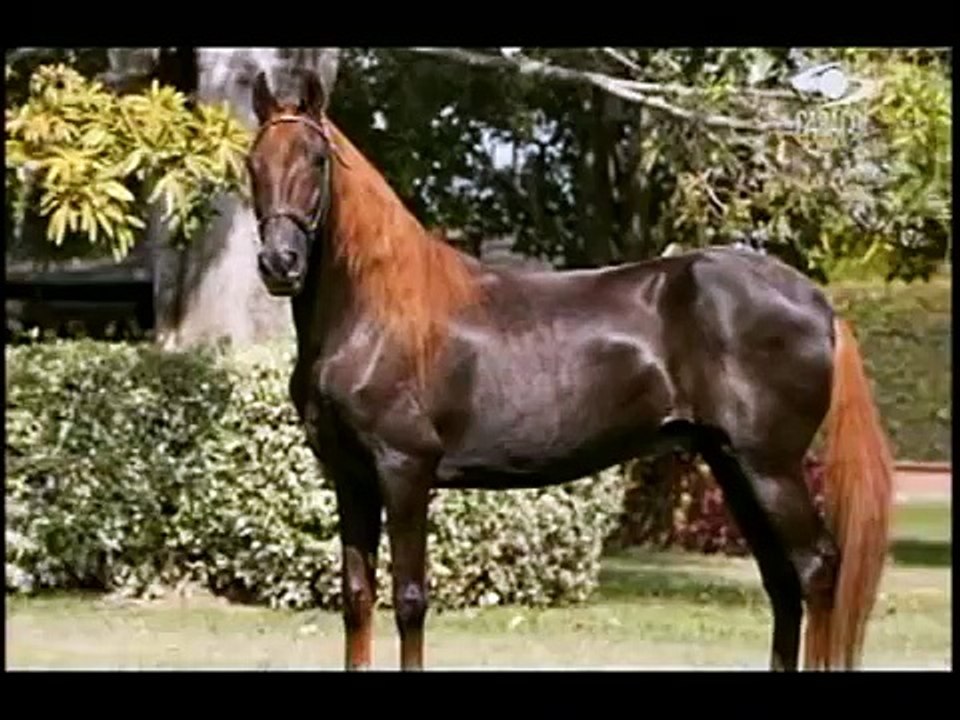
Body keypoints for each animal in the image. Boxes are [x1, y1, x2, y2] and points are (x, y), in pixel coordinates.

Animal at [243, 69, 894, 672]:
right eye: (254, 163)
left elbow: (408, 600)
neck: (375, 313)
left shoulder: (404, 471)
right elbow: (357, 597)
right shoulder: (350, 477)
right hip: (734, 466)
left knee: (815, 569)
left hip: (771, 468)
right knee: (781, 581)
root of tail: (819, 304)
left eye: (317, 159)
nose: (280, 263)